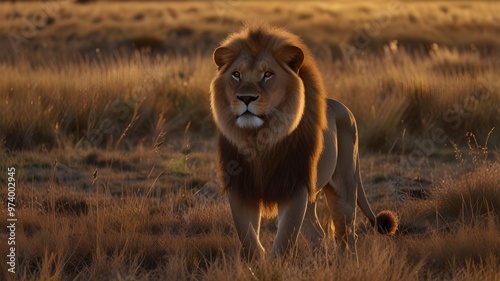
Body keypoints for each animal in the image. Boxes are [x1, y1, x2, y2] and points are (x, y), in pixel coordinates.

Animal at [209, 21, 396, 258]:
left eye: (267, 74)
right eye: (236, 74)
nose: (246, 98)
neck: (260, 139)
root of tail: (344, 107)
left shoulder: (295, 188)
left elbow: (284, 241)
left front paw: (274, 265)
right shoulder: (241, 190)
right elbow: (249, 239)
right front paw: (258, 262)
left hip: (345, 187)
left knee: (346, 233)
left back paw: (348, 261)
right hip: (312, 198)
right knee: (318, 232)